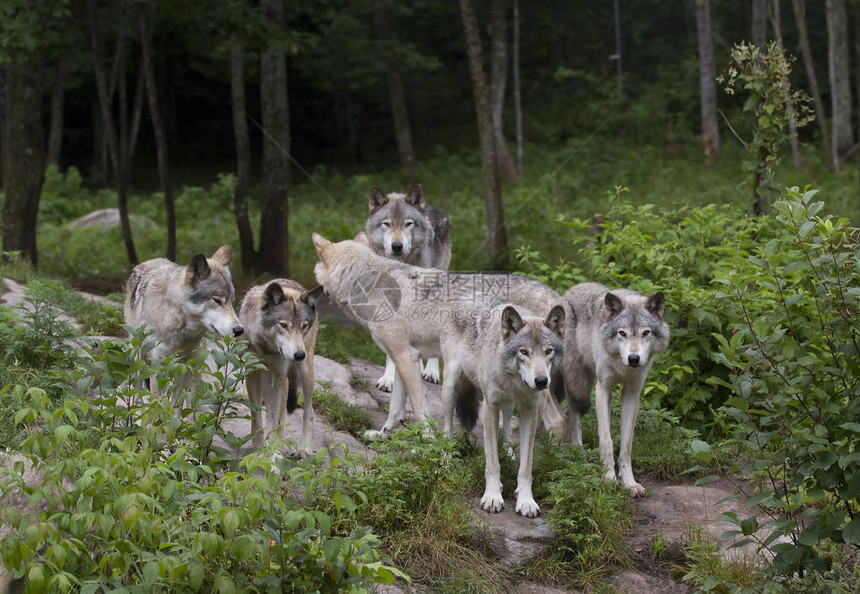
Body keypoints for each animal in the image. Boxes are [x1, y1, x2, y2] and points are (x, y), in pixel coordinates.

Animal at [240, 280, 324, 450]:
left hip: (306, 372)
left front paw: (275, 453)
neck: (267, 348)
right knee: (269, 411)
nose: (299, 355)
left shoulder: (281, 378)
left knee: (309, 412)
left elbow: (279, 423)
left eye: (304, 326)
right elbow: (257, 417)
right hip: (266, 377)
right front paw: (258, 449)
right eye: (283, 325)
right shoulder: (253, 374)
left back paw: (304, 448)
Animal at [310, 231, 564, 440]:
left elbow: (418, 408)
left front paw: (430, 441)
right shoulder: (403, 357)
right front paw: (382, 434)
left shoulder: (405, 357)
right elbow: (395, 409)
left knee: (557, 422)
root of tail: (553, 295)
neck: (368, 283)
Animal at [440, 300, 568, 512]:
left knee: (507, 425)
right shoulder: (489, 407)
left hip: (509, 403)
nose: (541, 381)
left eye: (548, 351)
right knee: (447, 426)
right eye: (524, 352)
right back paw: (446, 457)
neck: (513, 381)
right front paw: (492, 497)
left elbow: (526, 467)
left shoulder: (530, 410)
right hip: (451, 385)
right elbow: (493, 462)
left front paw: (526, 501)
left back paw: (509, 454)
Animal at [556, 282, 672, 494]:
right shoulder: (603, 390)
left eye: (646, 333)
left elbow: (626, 444)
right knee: (573, 413)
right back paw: (579, 455)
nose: (633, 358)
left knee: (568, 411)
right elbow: (606, 440)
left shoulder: (632, 393)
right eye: (622, 333)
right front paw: (609, 478)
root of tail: (571, 290)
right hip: (580, 384)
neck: (621, 364)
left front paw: (629, 483)